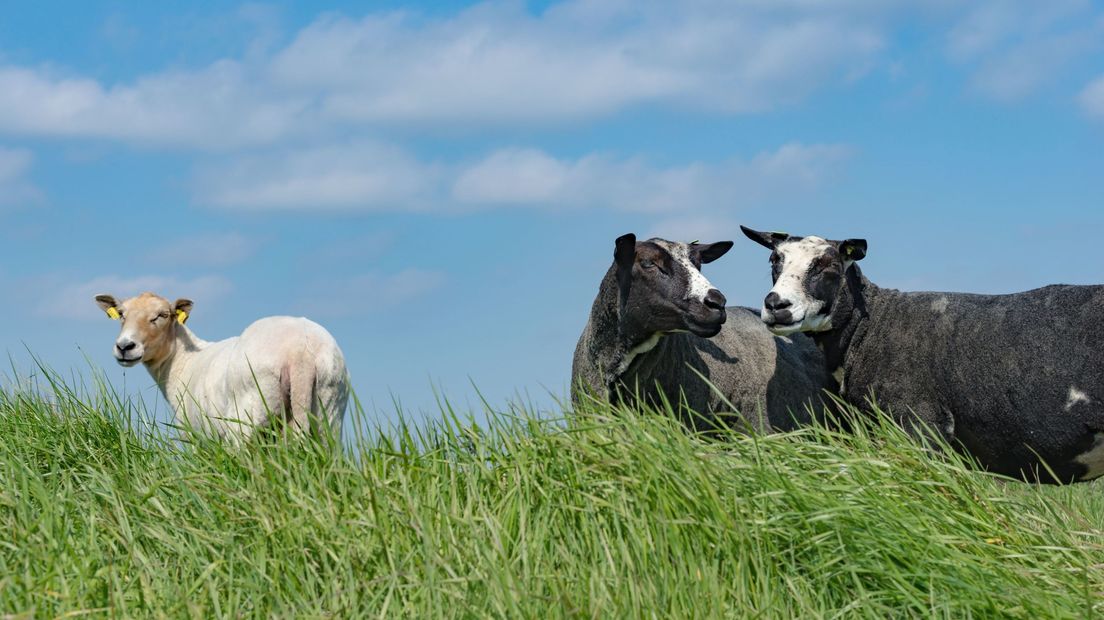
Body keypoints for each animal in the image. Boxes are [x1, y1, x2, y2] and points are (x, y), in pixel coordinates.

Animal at [97, 291, 351, 441]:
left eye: (162, 315)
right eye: (121, 314)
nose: (125, 346)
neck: (182, 362)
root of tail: (299, 350)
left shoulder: (196, 433)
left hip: (247, 415)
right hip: (329, 411)